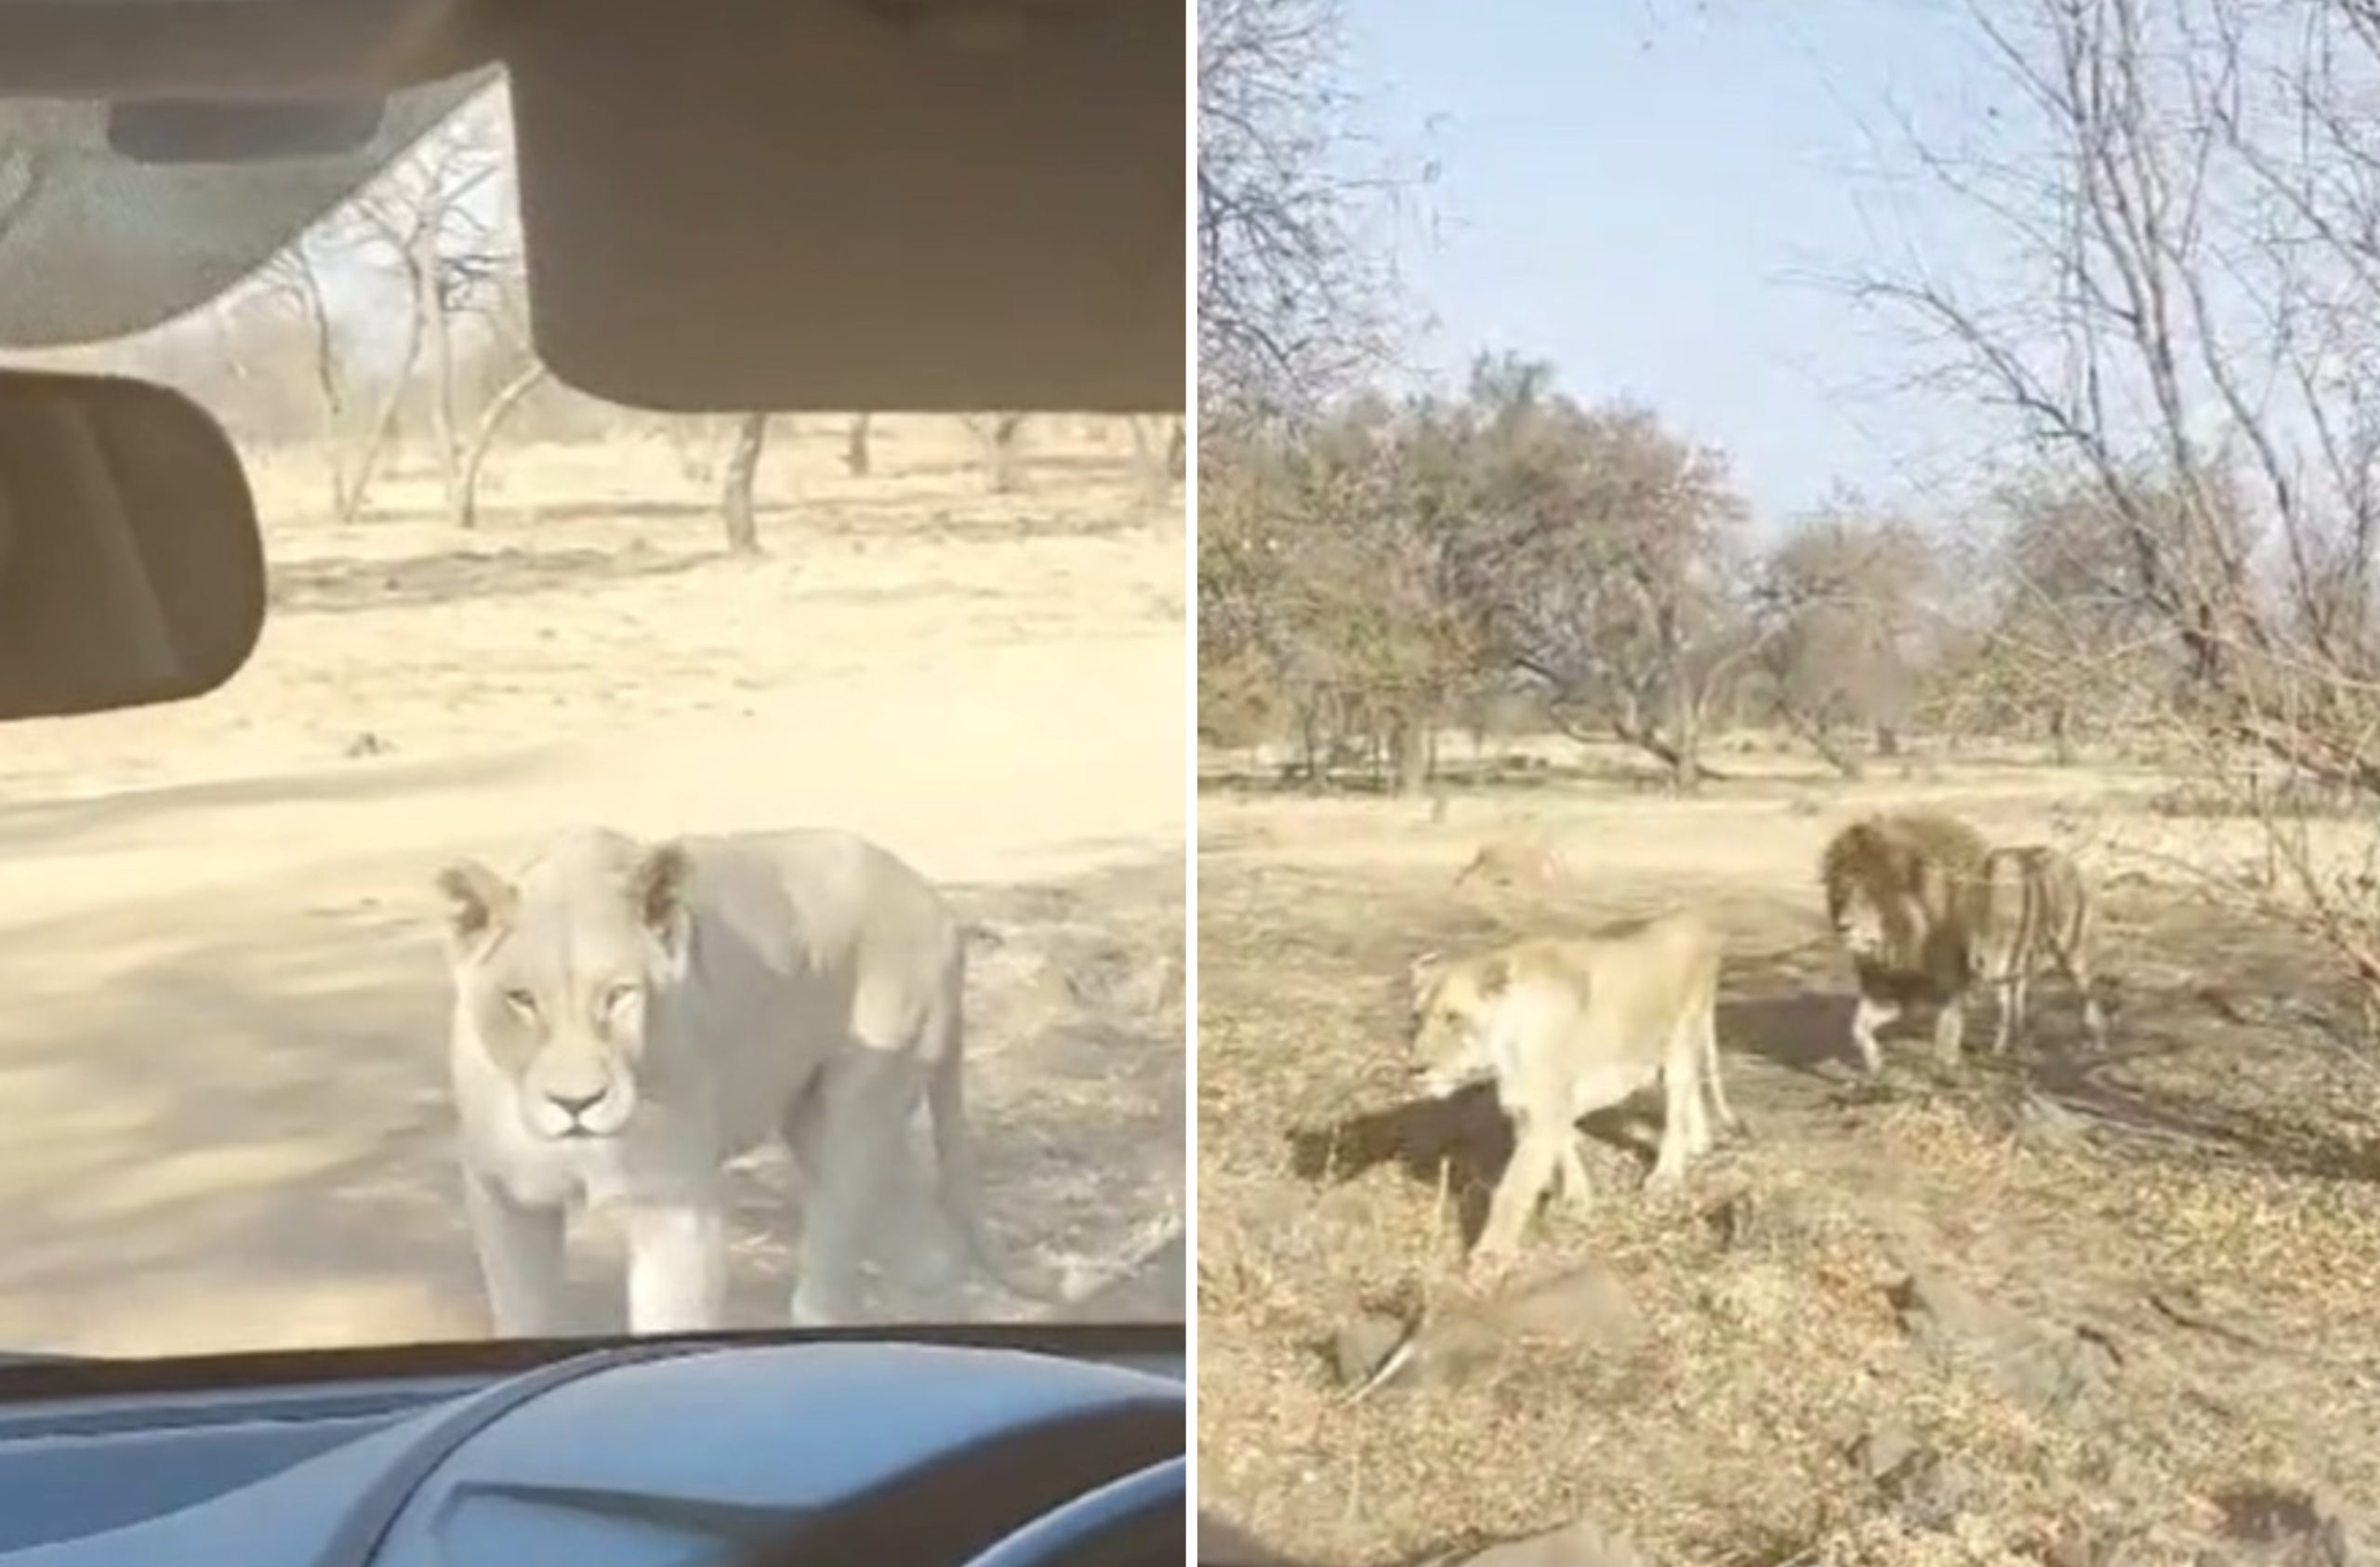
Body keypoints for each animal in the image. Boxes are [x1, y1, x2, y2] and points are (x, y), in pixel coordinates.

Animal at [1818, 808, 1990, 1079]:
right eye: (1841, 894)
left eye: (1867, 895)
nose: (1843, 926)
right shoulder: (1888, 988)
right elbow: (1859, 1028)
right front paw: (1875, 1065)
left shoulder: (1950, 982)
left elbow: (1948, 1024)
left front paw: (1946, 1064)